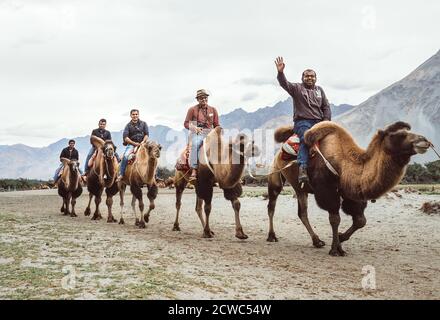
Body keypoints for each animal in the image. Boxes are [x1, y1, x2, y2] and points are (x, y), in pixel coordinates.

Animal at [268, 121, 430, 256]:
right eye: (399, 135)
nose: (425, 140)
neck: (344, 163)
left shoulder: (350, 193)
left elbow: (360, 220)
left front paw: (340, 238)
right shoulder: (327, 190)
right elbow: (335, 218)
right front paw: (336, 249)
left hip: (300, 189)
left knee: (302, 212)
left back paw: (317, 241)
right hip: (275, 175)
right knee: (272, 206)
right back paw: (272, 236)